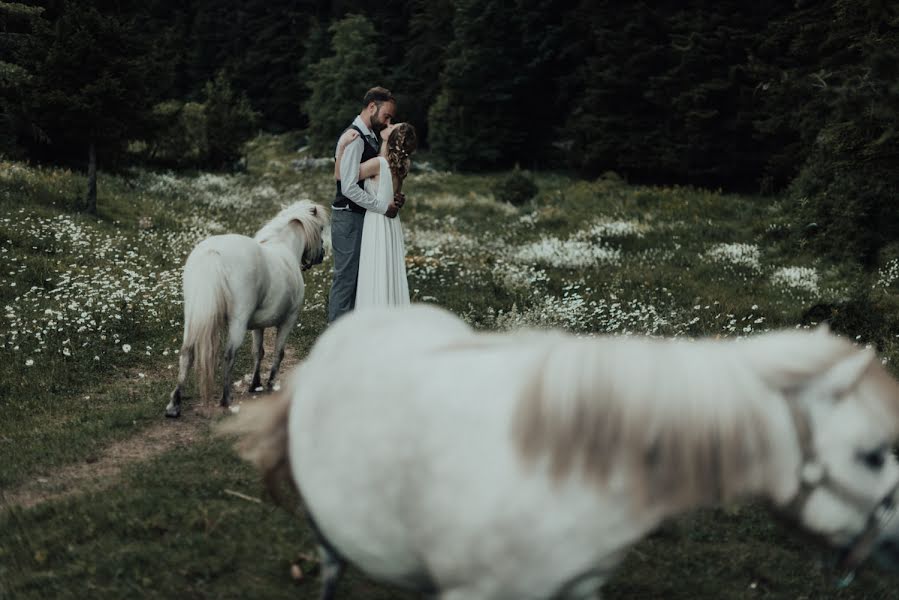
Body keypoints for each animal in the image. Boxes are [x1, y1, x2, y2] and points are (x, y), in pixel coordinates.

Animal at [165, 202, 326, 418]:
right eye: (321, 228)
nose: (321, 255)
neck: (285, 250)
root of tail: (213, 253)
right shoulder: (288, 320)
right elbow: (278, 352)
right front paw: (270, 384)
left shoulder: (259, 325)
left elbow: (258, 352)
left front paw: (255, 384)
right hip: (237, 322)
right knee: (228, 355)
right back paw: (226, 400)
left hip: (192, 317)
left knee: (186, 354)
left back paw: (174, 405)